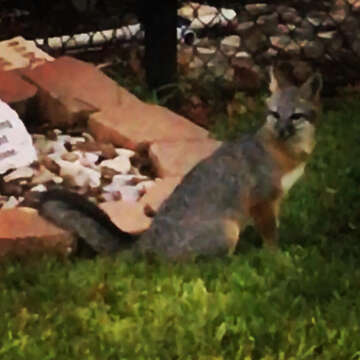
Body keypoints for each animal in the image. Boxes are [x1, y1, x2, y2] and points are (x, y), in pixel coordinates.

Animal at [34, 67, 320, 258]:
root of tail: (146, 239)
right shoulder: (262, 201)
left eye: (295, 116)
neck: (285, 153)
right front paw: (276, 260)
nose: (282, 131)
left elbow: (274, 229)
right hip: (228, 232)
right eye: (275, 115)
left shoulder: (275, 201)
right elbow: (271, 238)